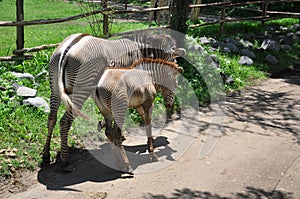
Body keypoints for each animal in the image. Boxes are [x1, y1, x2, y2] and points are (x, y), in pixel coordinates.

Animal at [42, 31, 185, 169]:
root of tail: (67, 49)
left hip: (55, 87)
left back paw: (46, 155)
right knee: (65, 121)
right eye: (175, 82)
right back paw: (65, 160)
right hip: (80, 89)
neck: (141, 52)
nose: (170, 106)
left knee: (52, 118)